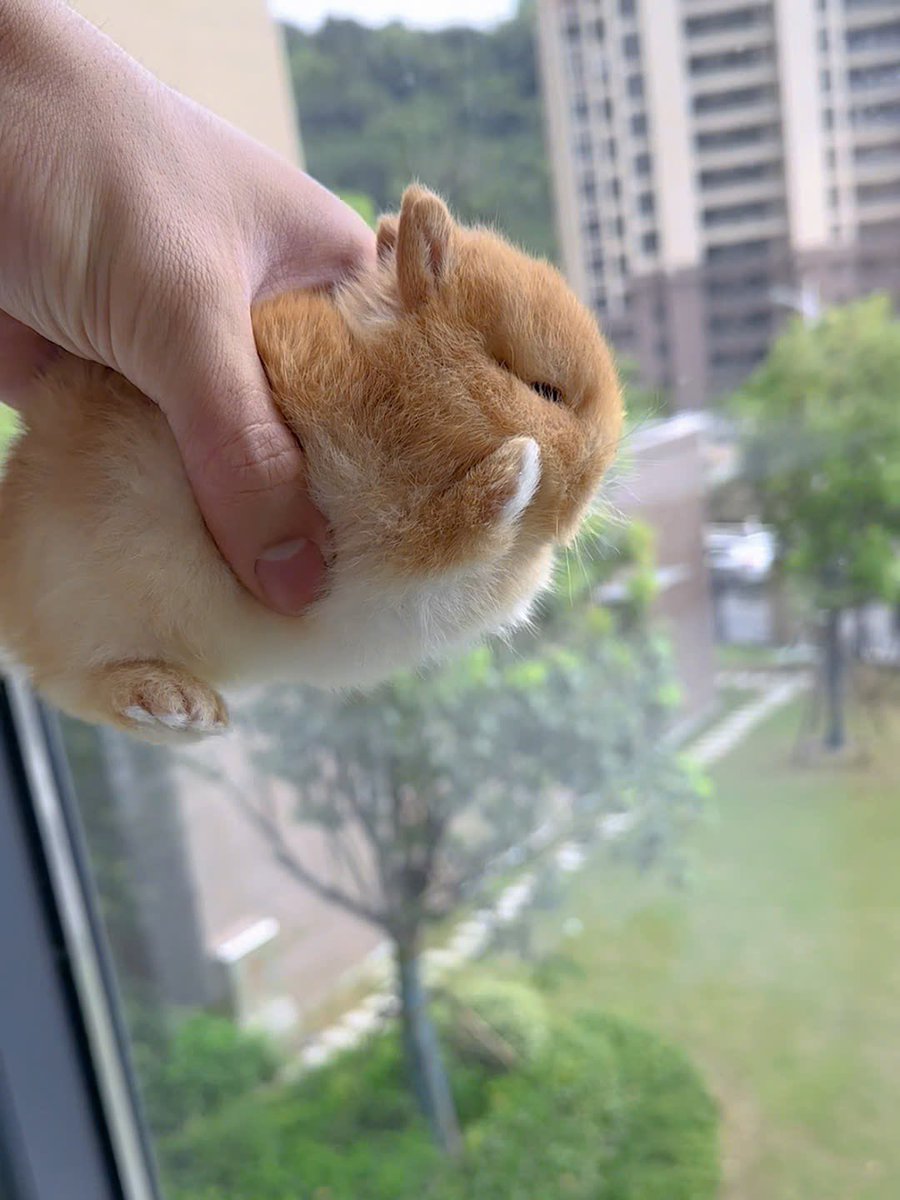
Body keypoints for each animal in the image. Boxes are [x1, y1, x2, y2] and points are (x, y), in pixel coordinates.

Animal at [0, 186, 622, 743]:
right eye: (544, 390)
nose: (591, 486)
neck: (393, 382)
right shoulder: (377, 526)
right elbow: (444, 532)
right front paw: (519, 468)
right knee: (72, 682)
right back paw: (172, 704)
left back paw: (191, 716)